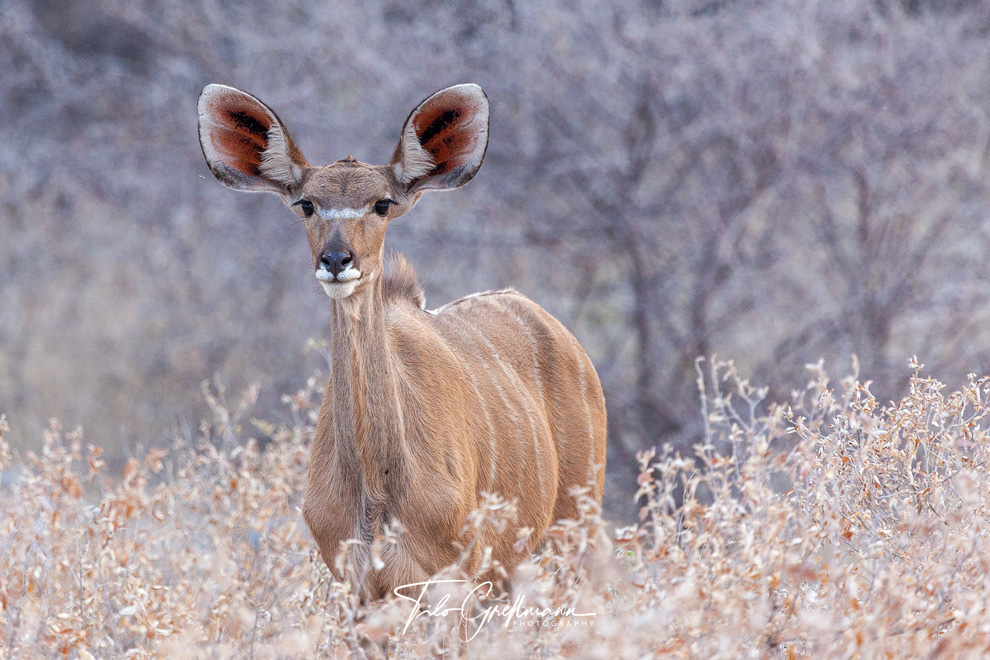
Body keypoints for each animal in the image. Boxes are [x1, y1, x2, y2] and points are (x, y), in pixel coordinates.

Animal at [197, 83, 607, 599]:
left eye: (382, 203)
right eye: (306, 204)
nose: (337, 259)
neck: (376, 488)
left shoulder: (446, 578)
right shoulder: (357, 587)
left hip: (572, 534)